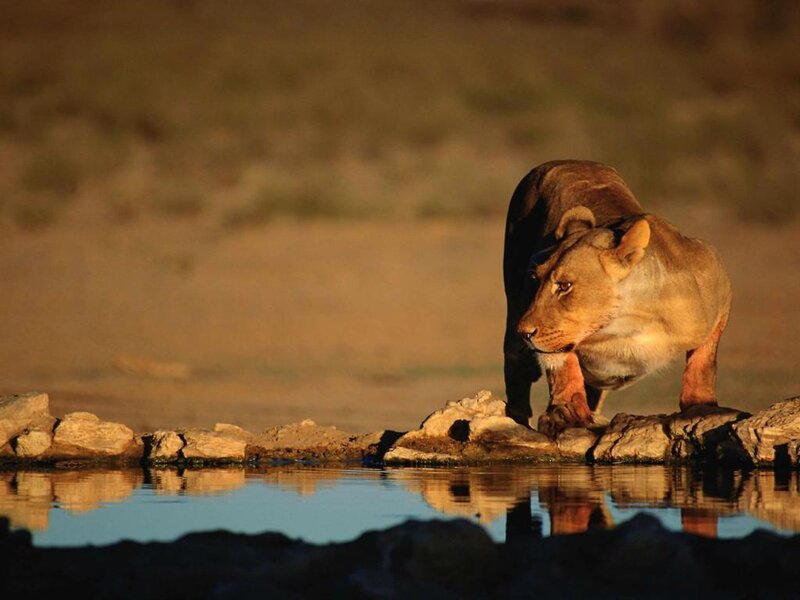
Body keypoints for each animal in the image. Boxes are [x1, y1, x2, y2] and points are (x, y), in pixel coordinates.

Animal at [503, 160, 731, 438]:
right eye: (536, 279)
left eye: (565, 286)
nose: (525, 331)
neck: (625, 324)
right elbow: (563, 365)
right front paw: (565, 413)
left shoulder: (716, 281)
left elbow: (704, 359)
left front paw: (701, 405)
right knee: (516, 374)